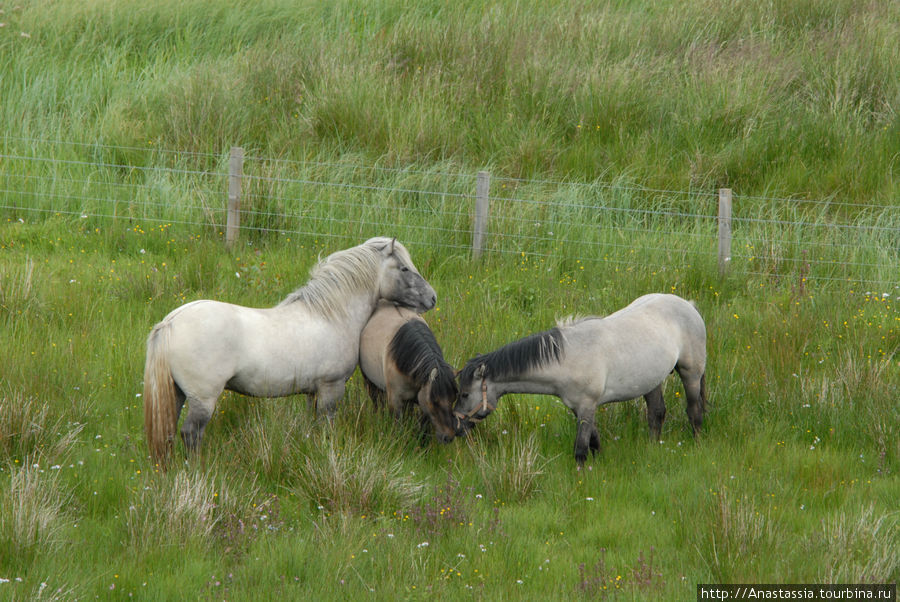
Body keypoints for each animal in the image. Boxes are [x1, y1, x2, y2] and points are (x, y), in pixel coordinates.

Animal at [142, 237, 438, 462]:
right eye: (404, 269)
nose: (432, 298)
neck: (331, 315)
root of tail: (171, 322)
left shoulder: (312, 392)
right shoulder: (331, 389)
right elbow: (326, 427)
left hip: (178, 394)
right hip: (202, 399)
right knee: (191, 434)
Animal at [356, 298, 458, 440]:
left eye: (453, 399)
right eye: (435, 402)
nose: (448, 437)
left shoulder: (423, 400)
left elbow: (423, 428)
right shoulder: (396, 402)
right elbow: (398, 426)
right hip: (370, 383)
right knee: (376, 401)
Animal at [454, 292, 708, 466]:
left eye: (465, 394)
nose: (455, 428)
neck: (568, 358)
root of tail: (689, 305)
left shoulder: (587, 405)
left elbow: (581, 449)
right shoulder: (579, 408)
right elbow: (594, 442)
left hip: (691, 374)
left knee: (694, 412)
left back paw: (697, 446)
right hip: (651, 381)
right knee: (656, 414)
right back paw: (652, 448)